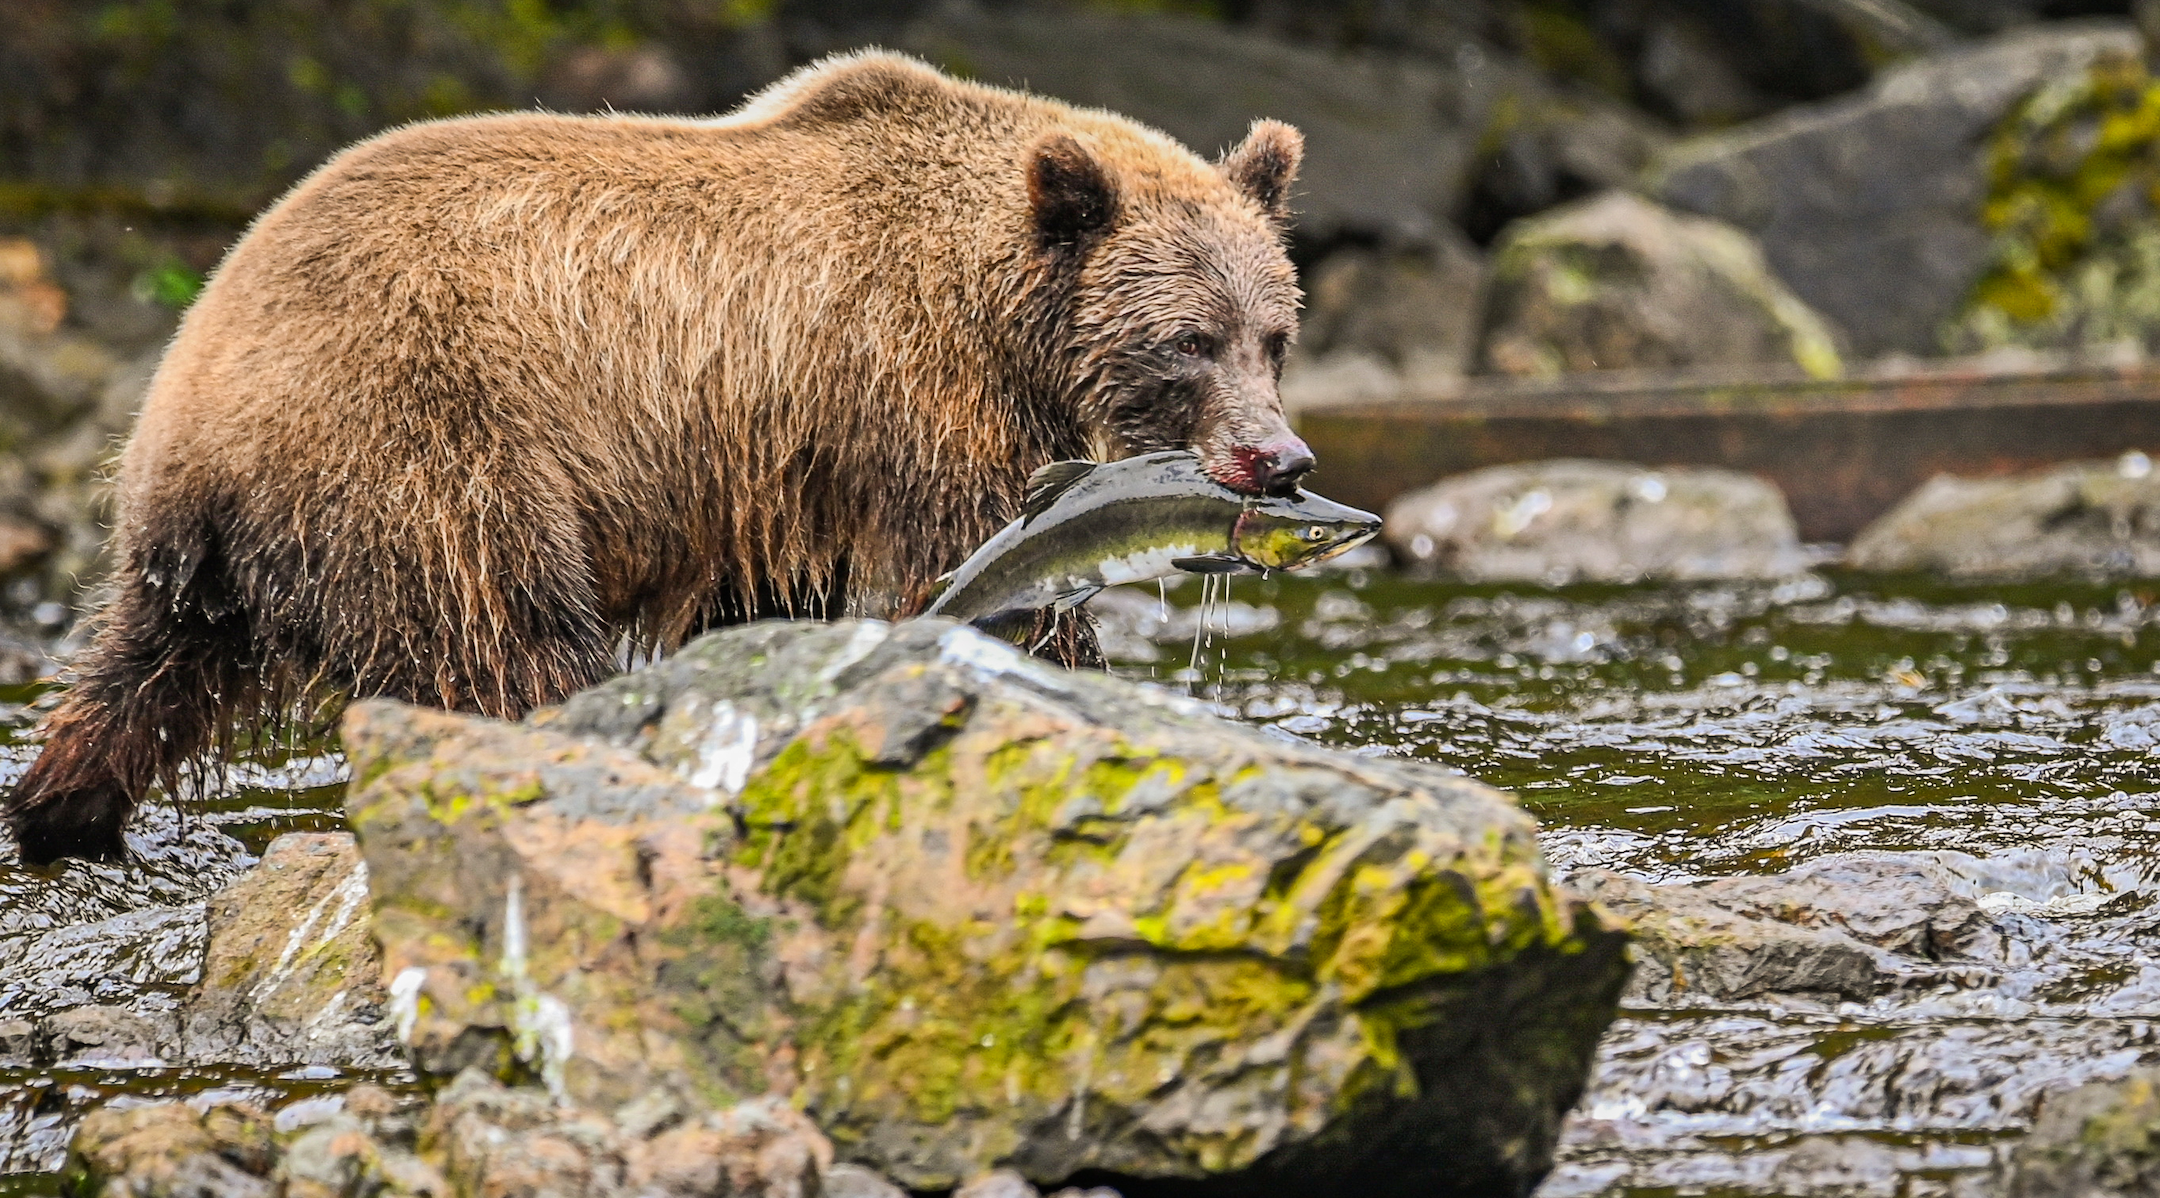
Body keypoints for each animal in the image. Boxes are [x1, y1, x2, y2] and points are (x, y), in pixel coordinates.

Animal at [4, 53, 1313, 863]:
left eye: (1275, 331)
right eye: (1189, 339)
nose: (1281, 457)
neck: (1000, 310)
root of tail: (198, 383)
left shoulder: (776, 470)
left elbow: (766, 605)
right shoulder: (907, 395)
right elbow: (993, 570)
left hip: (206, 548)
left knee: (138, 678)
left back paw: (61, 812)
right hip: (432, 451)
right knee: (512, 645)